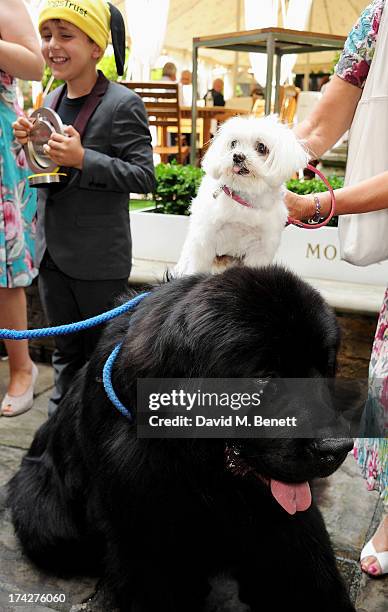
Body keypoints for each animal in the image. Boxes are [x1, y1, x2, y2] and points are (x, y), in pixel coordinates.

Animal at [176, 114, 310, 274]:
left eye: (261, 147)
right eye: (233, 143)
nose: (237, 156)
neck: (244, 196)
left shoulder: (261, 248)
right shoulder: (205, 239)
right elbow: (198, 266)